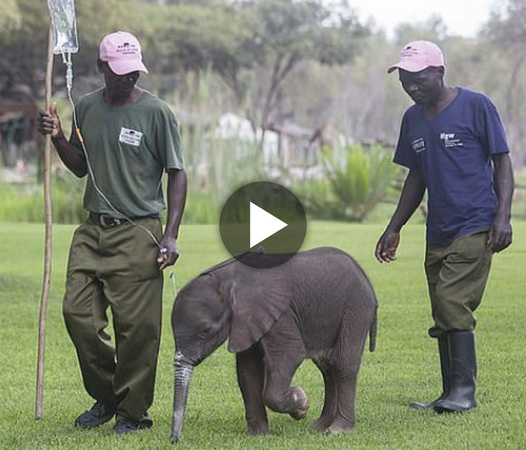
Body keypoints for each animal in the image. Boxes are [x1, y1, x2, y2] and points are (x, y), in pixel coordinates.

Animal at [172, 248, 380, 442]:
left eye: (206, 331)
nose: (175, 440)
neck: (228, 280)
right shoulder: (249, 320)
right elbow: (248, 370)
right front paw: (257, 436)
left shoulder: (280, 313)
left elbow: (290, 354)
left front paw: (302, 403)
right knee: (327, 367)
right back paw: (319, 427)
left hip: (356, 310)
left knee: (343, 364)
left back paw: (338, 430)